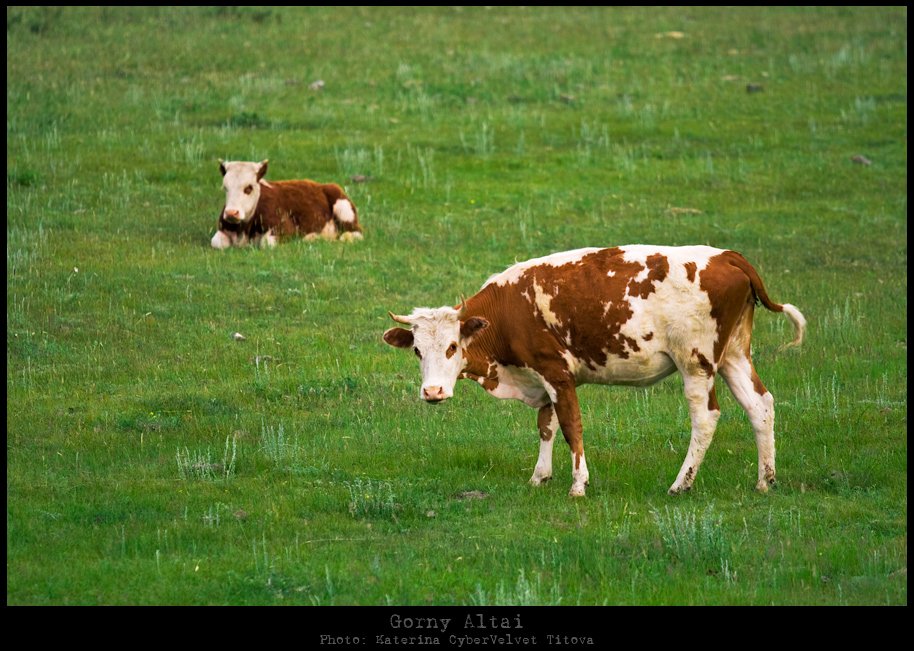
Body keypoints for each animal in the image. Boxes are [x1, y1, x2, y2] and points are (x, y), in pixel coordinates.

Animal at [209, 159, 360, 248]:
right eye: (225, 188)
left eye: (249, 188)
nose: (231, 213)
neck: (244, 229)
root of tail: (323, 185)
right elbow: (216, 242)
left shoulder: (285, 229)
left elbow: (267, 243)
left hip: (343, 208)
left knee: (354, 233)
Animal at [384, 247, 804, 496]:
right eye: (418, 350)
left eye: (453, 347)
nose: (433, 393)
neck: (507, 311)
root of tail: (727, 256)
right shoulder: (544, 377)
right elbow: (547, 425)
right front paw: (540, 476)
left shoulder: (556, 371)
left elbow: (571, 426)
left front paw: (578, 485)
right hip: (733, 354)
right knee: (760, 405)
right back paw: (765, 480)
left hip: (696, 361)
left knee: (706, 417)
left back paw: (680, 483)